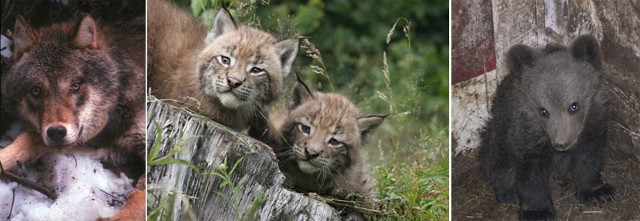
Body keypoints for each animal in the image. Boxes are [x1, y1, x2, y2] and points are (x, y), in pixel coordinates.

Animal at [0, 14, 146, 221]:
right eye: (36, 91)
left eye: (75, 85)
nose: (56, 132)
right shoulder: (96, 145)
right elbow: (27, 138)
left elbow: (141, 194)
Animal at [480, 35, 616, 221]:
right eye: (543, 110)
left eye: (574, 106)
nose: (561, 143)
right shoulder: (526, 131)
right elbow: (529, 172)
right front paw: (538, 211)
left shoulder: (595, 121)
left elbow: (589, 158)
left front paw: (597, 192)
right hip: (498, 130)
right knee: (496, 157)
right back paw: (508, 192)